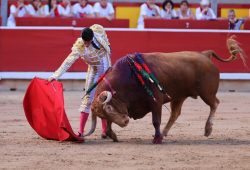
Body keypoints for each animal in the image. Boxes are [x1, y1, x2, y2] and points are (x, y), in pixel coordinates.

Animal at [84, 35, 246, 143]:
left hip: (206, 92)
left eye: (109, 108)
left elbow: (156, 120)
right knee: (175, 114)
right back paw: (164, 133)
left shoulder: (156, 101)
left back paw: (207, 129)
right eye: (101, 115)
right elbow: (109, 125)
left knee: (215, 103)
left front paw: (156, 139)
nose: (125, 122)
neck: (128, 78)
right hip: (179, 96)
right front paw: (113, 136)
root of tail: (204, 54)